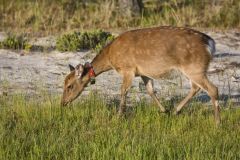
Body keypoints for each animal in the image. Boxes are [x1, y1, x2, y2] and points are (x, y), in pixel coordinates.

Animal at [61, 26, 220, 125]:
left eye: (69, 86)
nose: (62, 103)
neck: (110, 58)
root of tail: (211, 44)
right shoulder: (143, 72)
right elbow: (150, 90)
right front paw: (164, 110)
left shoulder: (128, 69)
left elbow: (123, 91)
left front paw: (119, 117)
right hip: (193, 69)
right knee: (196, 88)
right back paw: (176, 110)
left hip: (194, 67)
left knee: (213, 89)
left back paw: (217, 123)